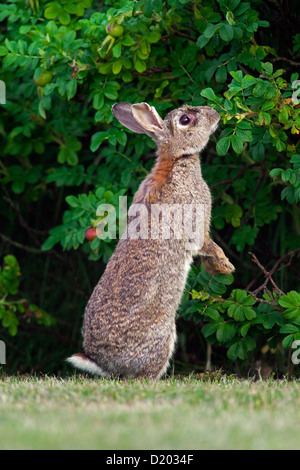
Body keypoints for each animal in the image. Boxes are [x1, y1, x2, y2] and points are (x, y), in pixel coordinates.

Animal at [67, 102, 236, 378]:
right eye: (186, 119)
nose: (215, 113)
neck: (177, 159)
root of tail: (102, 363)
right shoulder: (198, 226)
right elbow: (207, 244)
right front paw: (225, 266)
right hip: (164, 336)